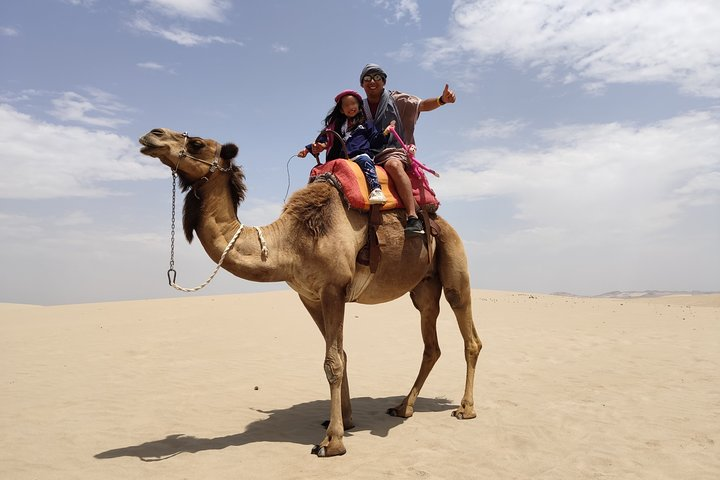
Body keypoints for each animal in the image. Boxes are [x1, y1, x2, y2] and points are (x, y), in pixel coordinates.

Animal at [138, 128, 482, 457]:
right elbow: (341, 355)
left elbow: (333, 362)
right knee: (431, 344)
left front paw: (332, 442)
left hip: (454, 263)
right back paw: (403, 407)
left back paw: (465, 409)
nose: (152, 135)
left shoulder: (334, 289)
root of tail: (439, 218)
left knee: (469, 335)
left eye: (196, 142)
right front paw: (343, 421)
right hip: (423, 287)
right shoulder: (310, 296)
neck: (291, 241)